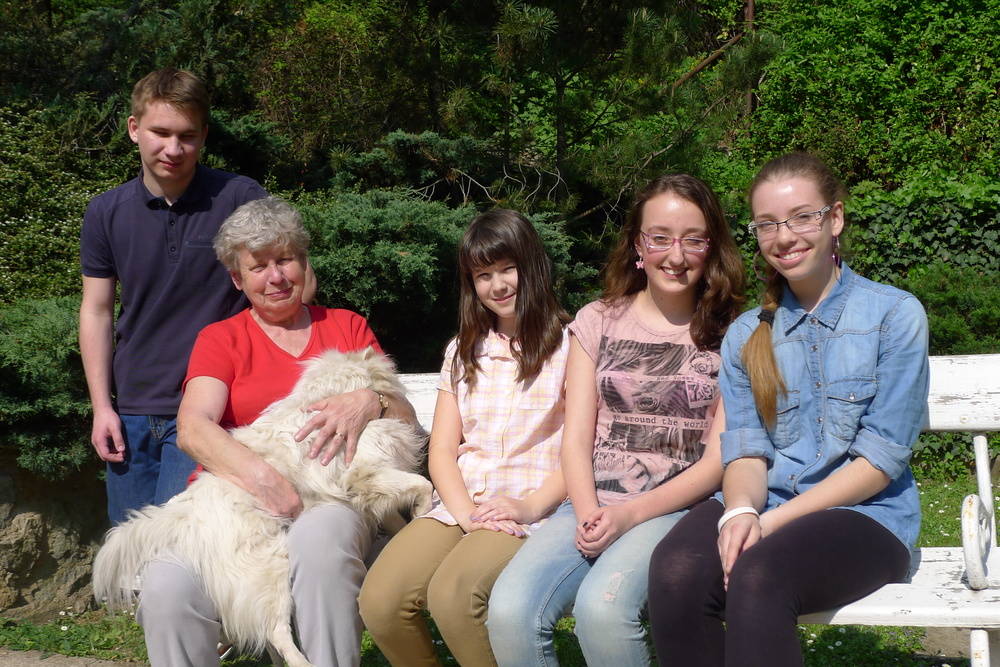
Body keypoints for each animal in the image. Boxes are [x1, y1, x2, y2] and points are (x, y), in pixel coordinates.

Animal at [93, 348, 433, 667]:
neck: (330, 396)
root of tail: (185, 517)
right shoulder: (365, 473)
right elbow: (422, 485)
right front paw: (424, 513)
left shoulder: (372, 489)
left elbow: (399, 513)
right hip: (270, 570)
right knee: (275, 632)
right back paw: (303, 663)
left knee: (266, 636)